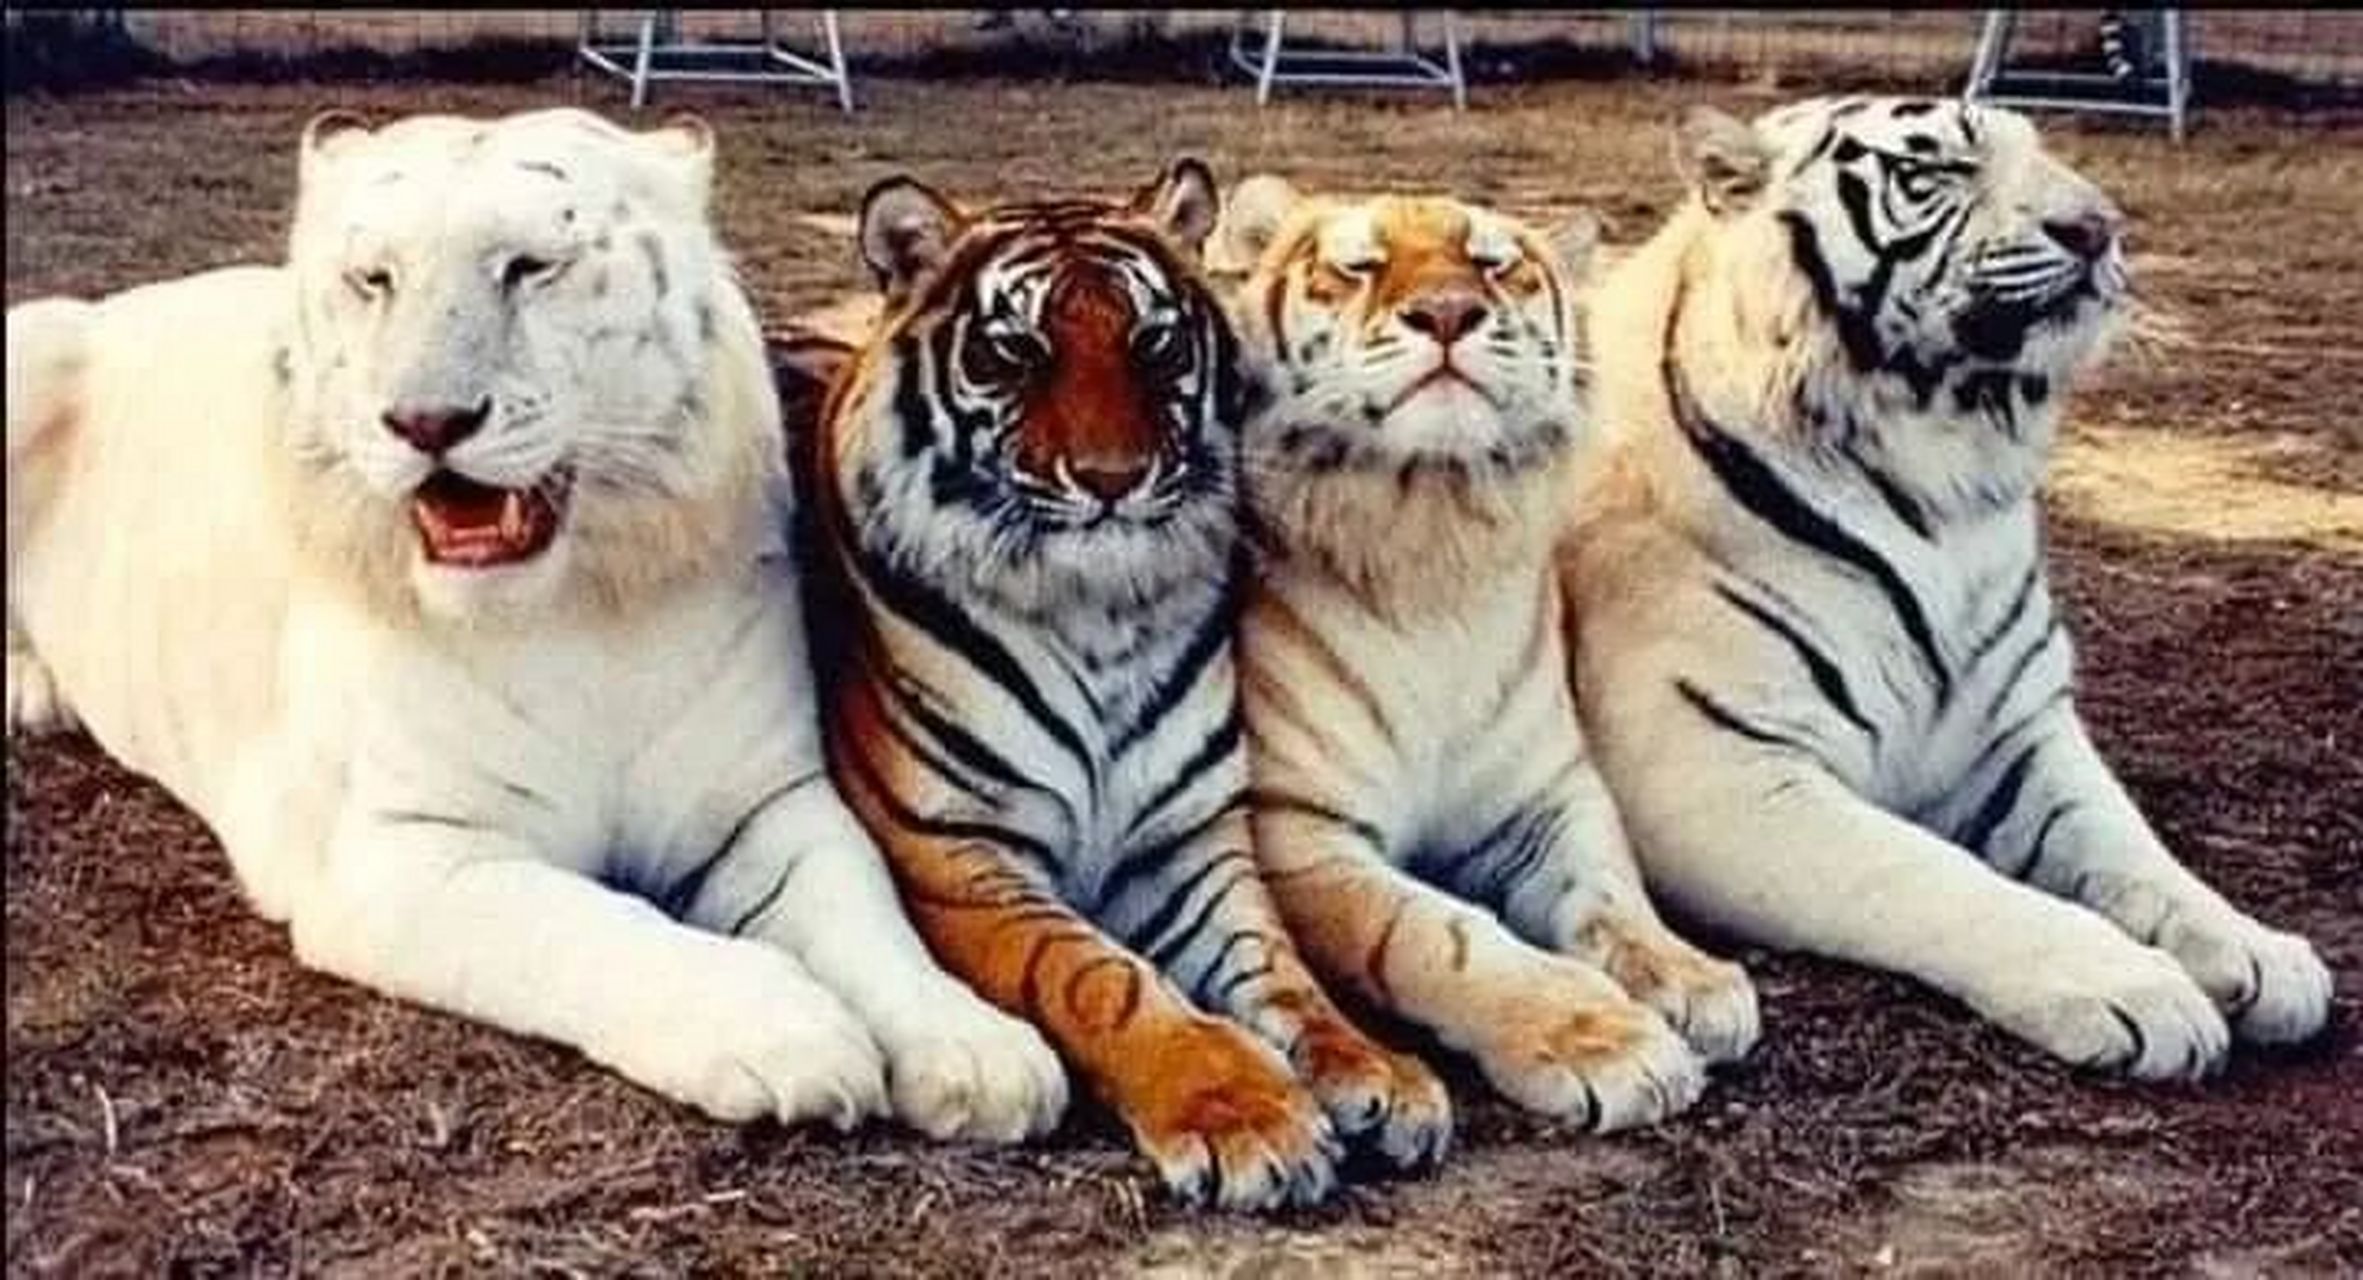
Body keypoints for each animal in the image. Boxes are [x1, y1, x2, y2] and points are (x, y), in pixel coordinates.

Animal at [3, 107, 1067, 1143]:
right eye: (373, 279)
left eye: (529, 266)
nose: (426, 421)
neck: (573, 614)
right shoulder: (410, 852)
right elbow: (592, 926)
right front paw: (787, 1033)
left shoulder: (768, 805)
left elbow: (869, 920)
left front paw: (978, 1054)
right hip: (33, 343)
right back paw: (31, 691)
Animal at [771, 162, 1451, 1211]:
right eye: (1015, 351)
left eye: (1153, 342)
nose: (1112, 478)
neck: (1098, 614)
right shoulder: (955, 852)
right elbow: (1102, 979)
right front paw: (1243, 1112)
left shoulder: (1189, 842)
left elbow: (1281, 970)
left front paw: (1376, 1069)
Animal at [1211, 178, 1759, 1132]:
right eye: (1360, 265)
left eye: (1492, 264)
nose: (1446, 312)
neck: (1435, 534)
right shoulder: (1300, 829)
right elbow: (1443, 936)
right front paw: (1602, 1041)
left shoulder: (1551, 796)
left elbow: (1612, 891)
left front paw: (1689, 977)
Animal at [1557, 96, 2332, 1079]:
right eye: (1937, 172)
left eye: (2044, 154)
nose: (2098, 227)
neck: (1944, 479)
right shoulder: (1717, 771)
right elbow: (1935, 877)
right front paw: (2136, 985)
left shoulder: (2022, 732)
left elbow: (2136, 851)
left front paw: (2258, 950)